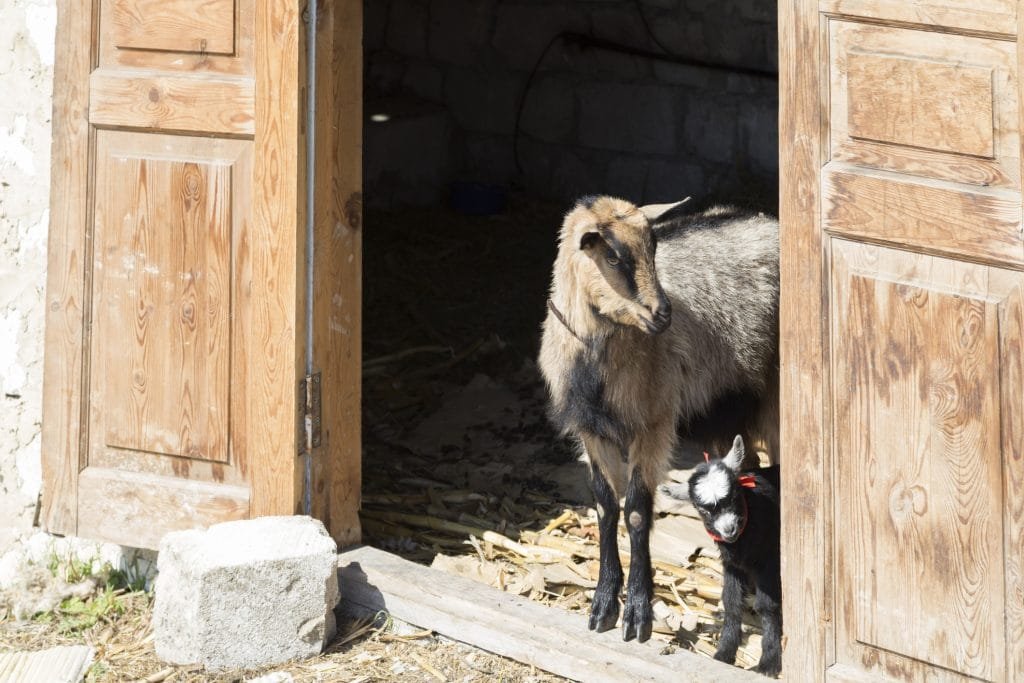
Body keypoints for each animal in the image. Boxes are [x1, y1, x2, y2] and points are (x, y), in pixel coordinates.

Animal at [536, 194, 774, 643]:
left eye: (654, 247)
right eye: (612, 256)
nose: (663, 314)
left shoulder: (652, 425)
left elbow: (635, 511)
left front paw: (637, 613)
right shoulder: (590, 431)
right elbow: (605, 507)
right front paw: (602, 606)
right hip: (726, 408)